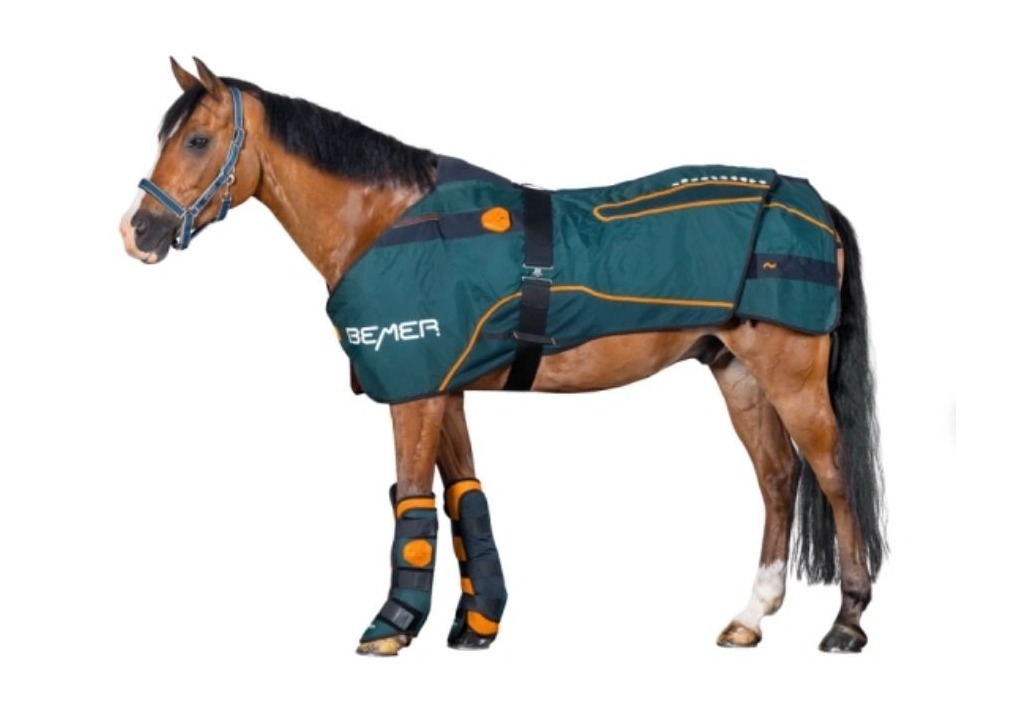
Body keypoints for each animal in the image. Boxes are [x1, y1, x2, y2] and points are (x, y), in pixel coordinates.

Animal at [119, 58, 886, 656]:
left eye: (197, 139)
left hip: (792, 379)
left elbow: (413, 502)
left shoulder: (416, 392)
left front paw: (391, 625)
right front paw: (476, 623)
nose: (138, 232)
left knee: (833, 476)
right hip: (739, 375)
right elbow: (465, 500)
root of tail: (809, 200)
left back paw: (847, 622)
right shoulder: (446, 389)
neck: (388, 222)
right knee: (778, 478)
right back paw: (750, 616)